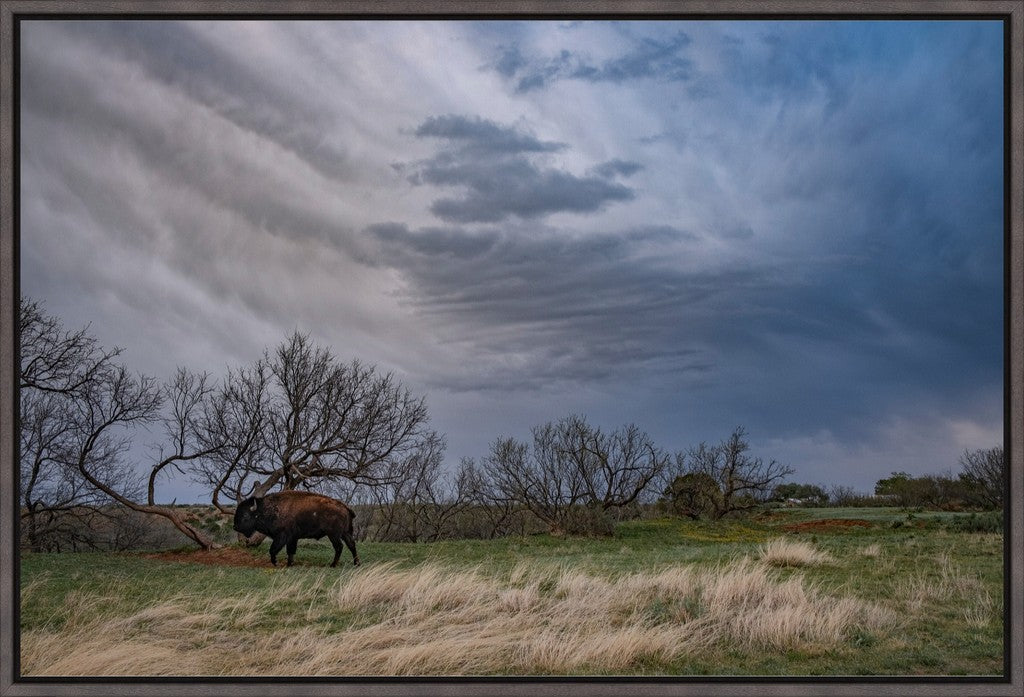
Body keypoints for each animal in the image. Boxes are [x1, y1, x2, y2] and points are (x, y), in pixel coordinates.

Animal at [234, 489, 362, 564]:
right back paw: (356, 563)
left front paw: (275, 562)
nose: (235, 527)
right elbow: (290, 551)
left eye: (245, 515)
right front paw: (289, 564)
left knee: (339, 547)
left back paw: (333, 565)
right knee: (351, 545)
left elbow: (273, 549)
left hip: (333, 535)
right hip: (345, 533)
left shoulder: (282, 536)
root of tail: (345, 507)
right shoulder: (292, 538)